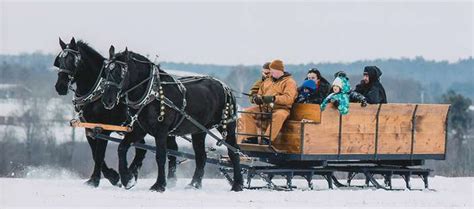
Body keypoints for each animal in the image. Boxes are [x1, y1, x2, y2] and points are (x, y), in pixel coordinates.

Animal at [51, 38, 178, 189]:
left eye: (72, 60)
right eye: (59, 60)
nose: (60, 86)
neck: (97, 92)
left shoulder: (103, 129)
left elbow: (99, 155)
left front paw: (99, 179)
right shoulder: (90, 129)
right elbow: (94, 153)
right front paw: (113, 176)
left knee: (170, 150)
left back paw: (167, 179)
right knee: (144, 150)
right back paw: (133, 174)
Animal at [99, 46, 241, 192]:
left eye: (120, 72)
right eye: (106, 71)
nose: (107, 100)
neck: (152, 92)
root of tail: (226, 87)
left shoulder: (161, 131)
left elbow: (160, 156)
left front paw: (159, 185)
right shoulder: (140, 130)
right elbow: (122, 148)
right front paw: (127, 179)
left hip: (227, 126)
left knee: (234, 152)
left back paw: (237, 184)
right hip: (199, 131)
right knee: (201, 156)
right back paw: (194, 184)